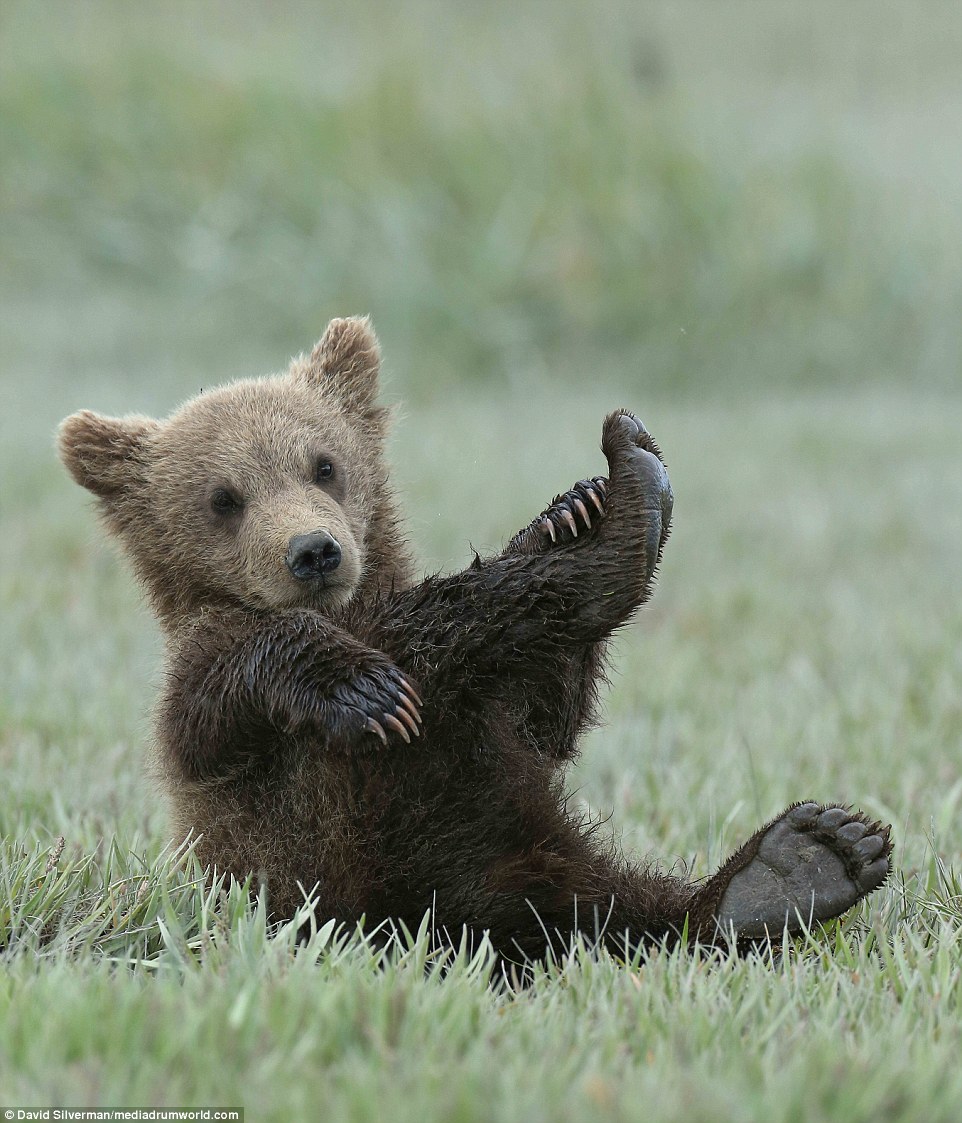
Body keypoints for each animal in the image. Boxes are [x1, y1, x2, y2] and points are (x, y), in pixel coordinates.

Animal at [60, 316, 889, 965]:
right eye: (224, 498)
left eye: (324, 464)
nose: (314, 551)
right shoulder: (205, 709)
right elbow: (225, 689)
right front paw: (365, 688)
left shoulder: (504, 721)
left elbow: (546, 721)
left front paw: (568, 508)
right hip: (324, 852)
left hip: (521, 852)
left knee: (620, 909)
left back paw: (802, 863)